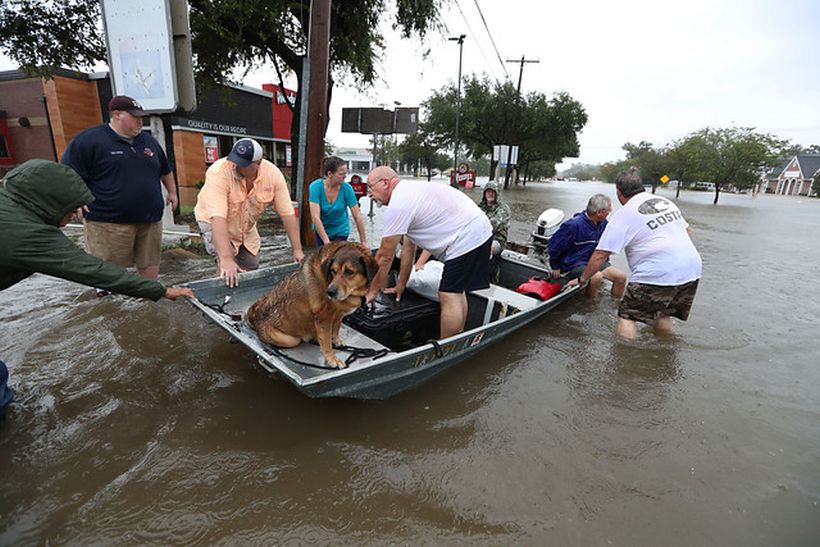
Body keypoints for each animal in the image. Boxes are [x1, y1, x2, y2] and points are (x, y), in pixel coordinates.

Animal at [247, 243, 378, 368]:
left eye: (349, 272)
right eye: (333, 270)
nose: (330, 292)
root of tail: (255, 318)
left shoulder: (338, 315)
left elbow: (336, 328)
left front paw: (336, 340)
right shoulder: (323, 317)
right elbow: (326, 342)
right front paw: (332, 359)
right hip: (290, 340)